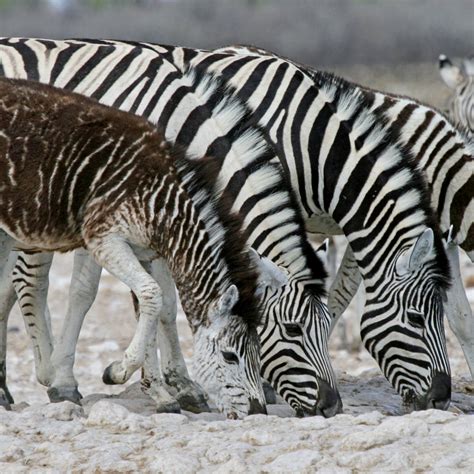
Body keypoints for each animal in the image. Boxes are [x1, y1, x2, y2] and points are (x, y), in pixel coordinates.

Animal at [0, 77, 270, 418]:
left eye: (259, 356)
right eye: (229, 356)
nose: (259, 411)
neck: (163, 203)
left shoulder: (146, 253)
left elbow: (152, 307)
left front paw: (158, 392)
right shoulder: (105, 239)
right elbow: (153, 295)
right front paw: (118, 372)